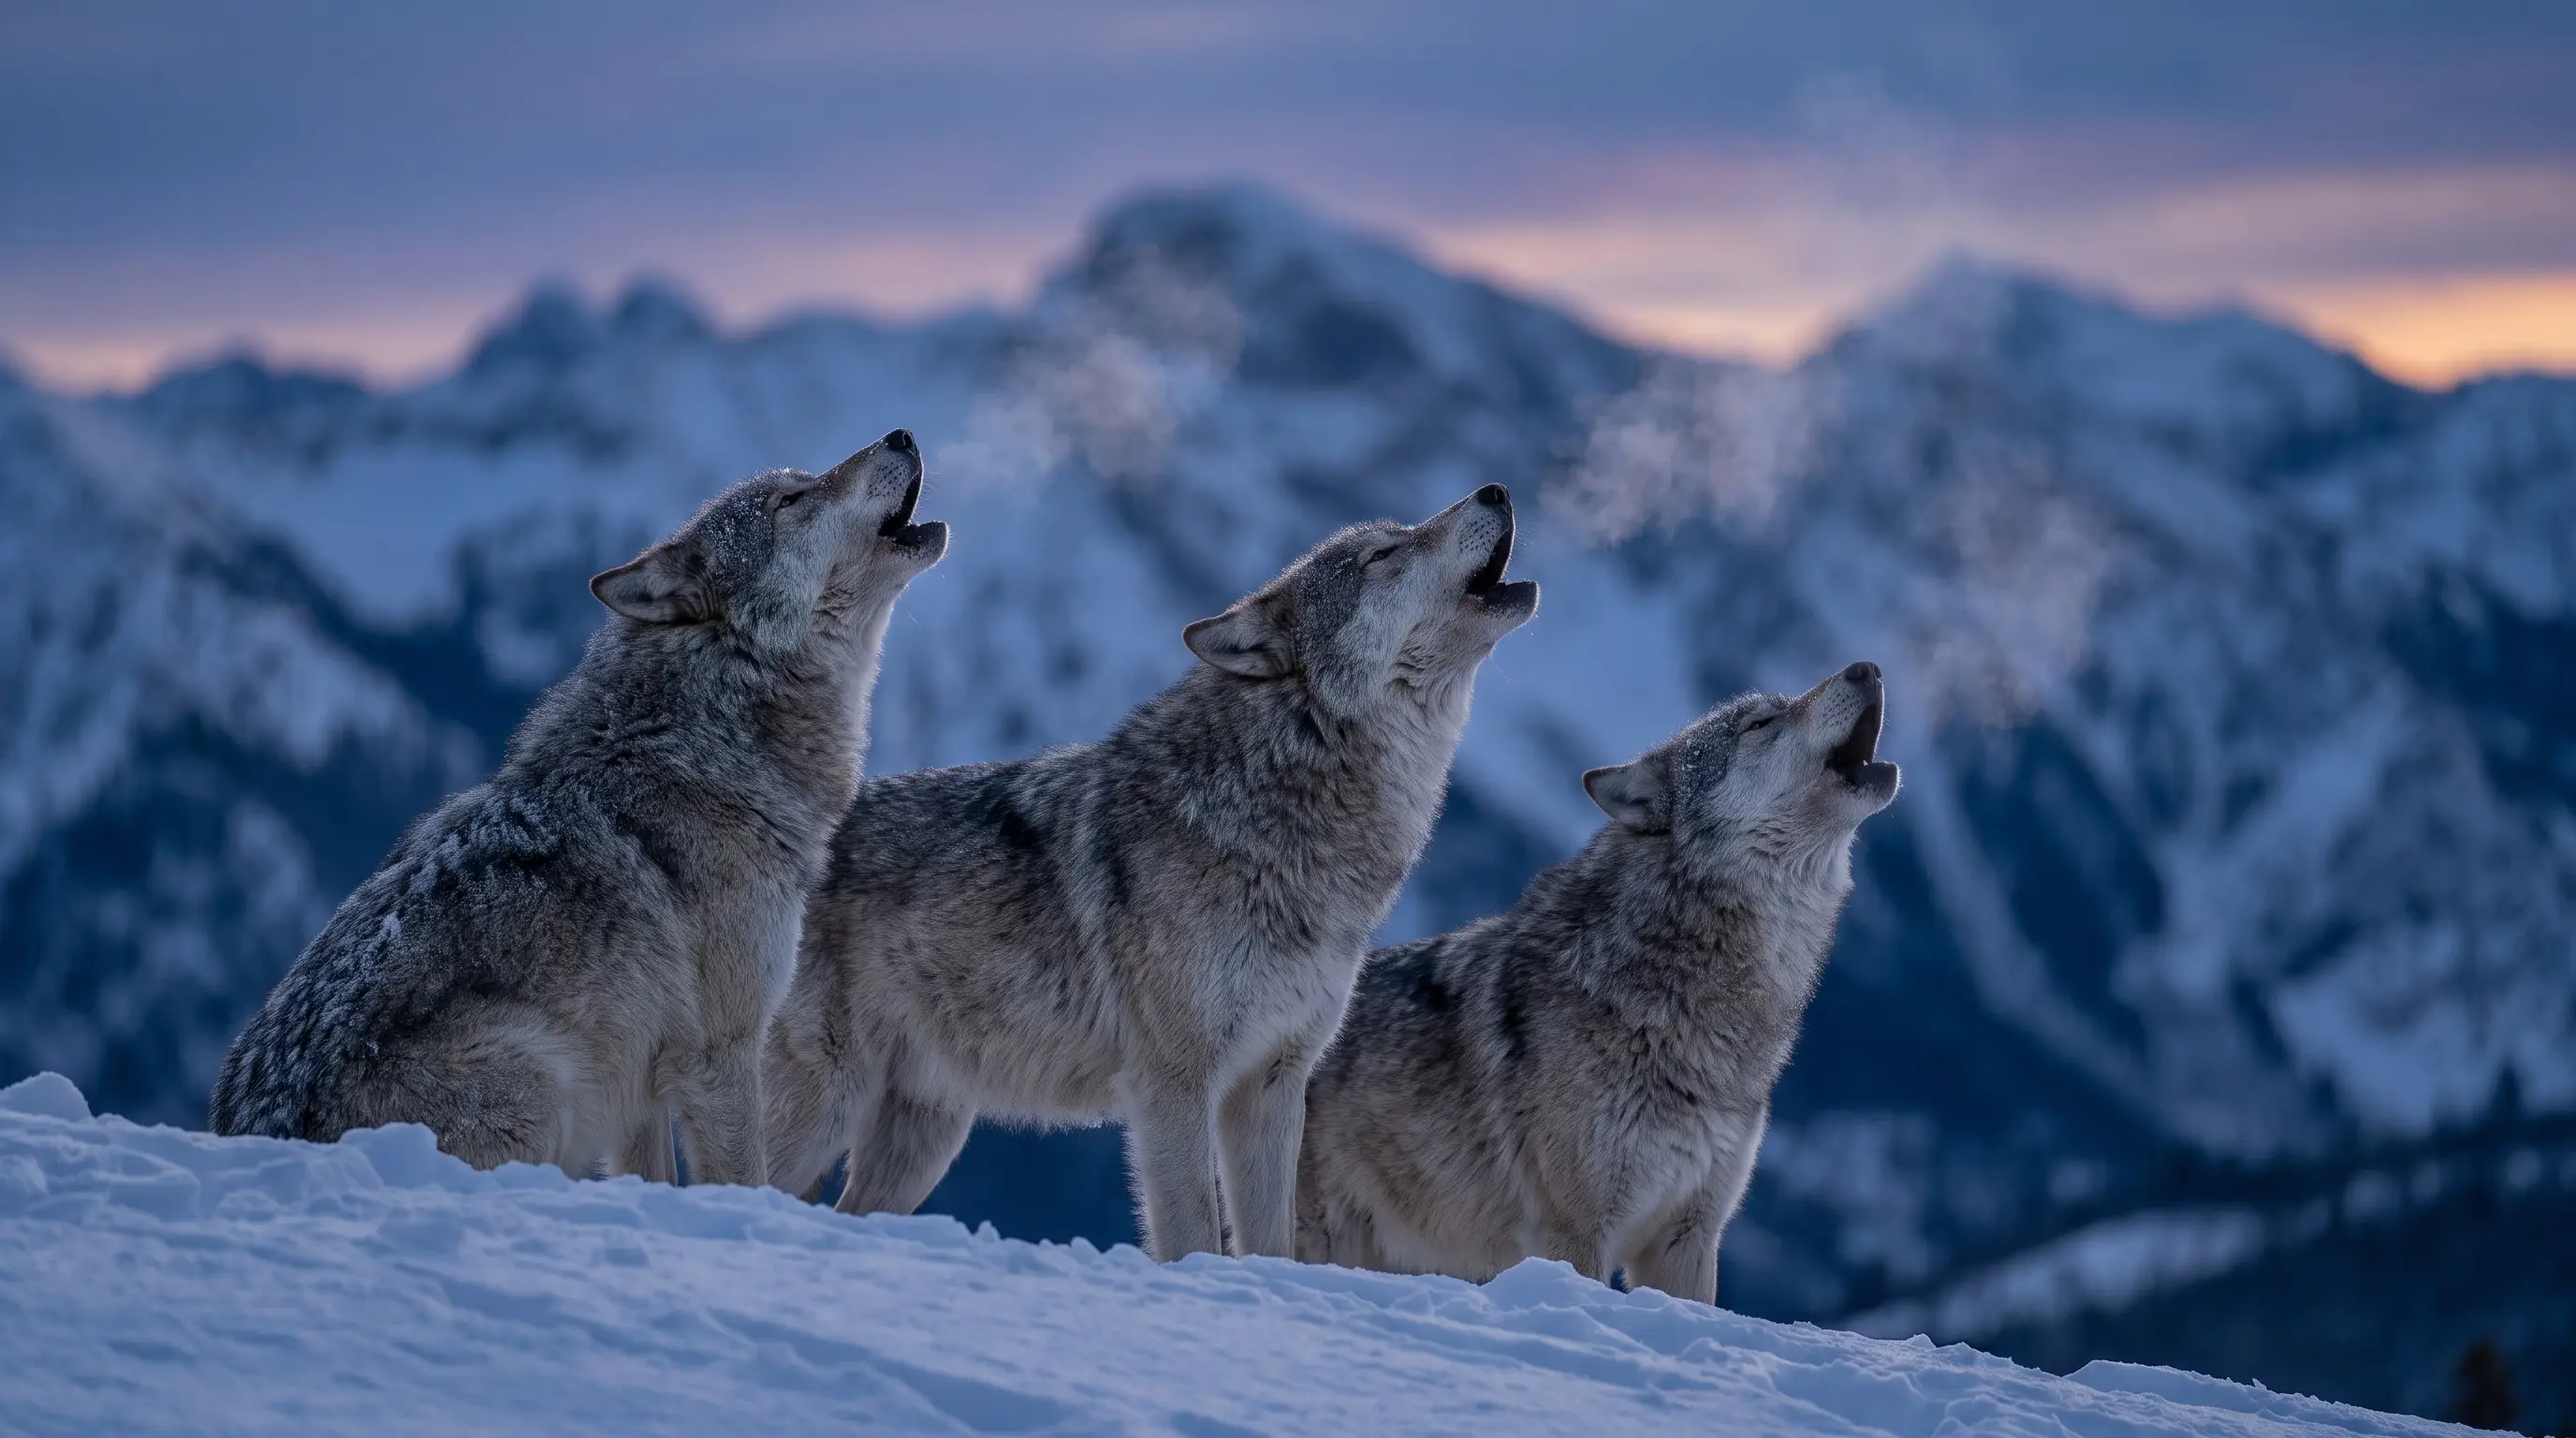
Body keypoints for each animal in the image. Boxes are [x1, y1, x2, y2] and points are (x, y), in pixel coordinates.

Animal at [209, 431, 945, 1187]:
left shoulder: (639, 1085)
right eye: (792, 501)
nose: (901, 435)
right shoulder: (720, 1053)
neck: (714, 724)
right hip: (540, 1073)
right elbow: (746, 1177)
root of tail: (255, 1130)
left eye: (802, 481)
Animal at [763, 484, 1538, 1260]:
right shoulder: (1174, 1085)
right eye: (1384, 554)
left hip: (926, 1137)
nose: (1495, 490)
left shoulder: (1273, 1086)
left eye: (1396, 537)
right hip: (829, 1104)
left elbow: (1270, 1241)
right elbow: (1194, 1232)